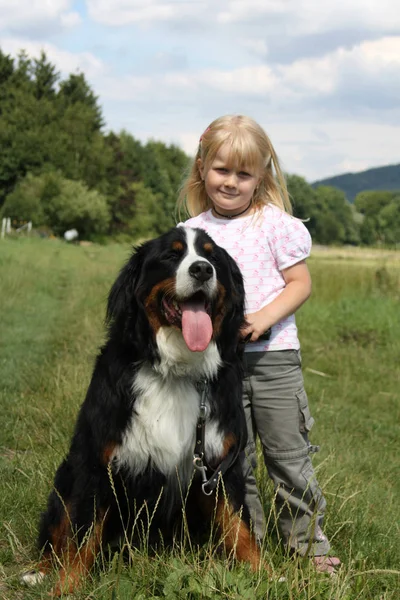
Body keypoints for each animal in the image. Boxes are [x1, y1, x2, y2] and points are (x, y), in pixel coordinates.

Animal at [21, 225, 260, 596]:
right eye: (171, 255)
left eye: (213, 258)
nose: (202, 270)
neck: (176, 371)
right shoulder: (97, 464)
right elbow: (81, 534)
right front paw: (67, 587)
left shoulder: (221, 465)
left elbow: (240, 526)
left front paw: (269, 575)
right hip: (66, 476)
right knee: (57, 532)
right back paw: (41, 571)